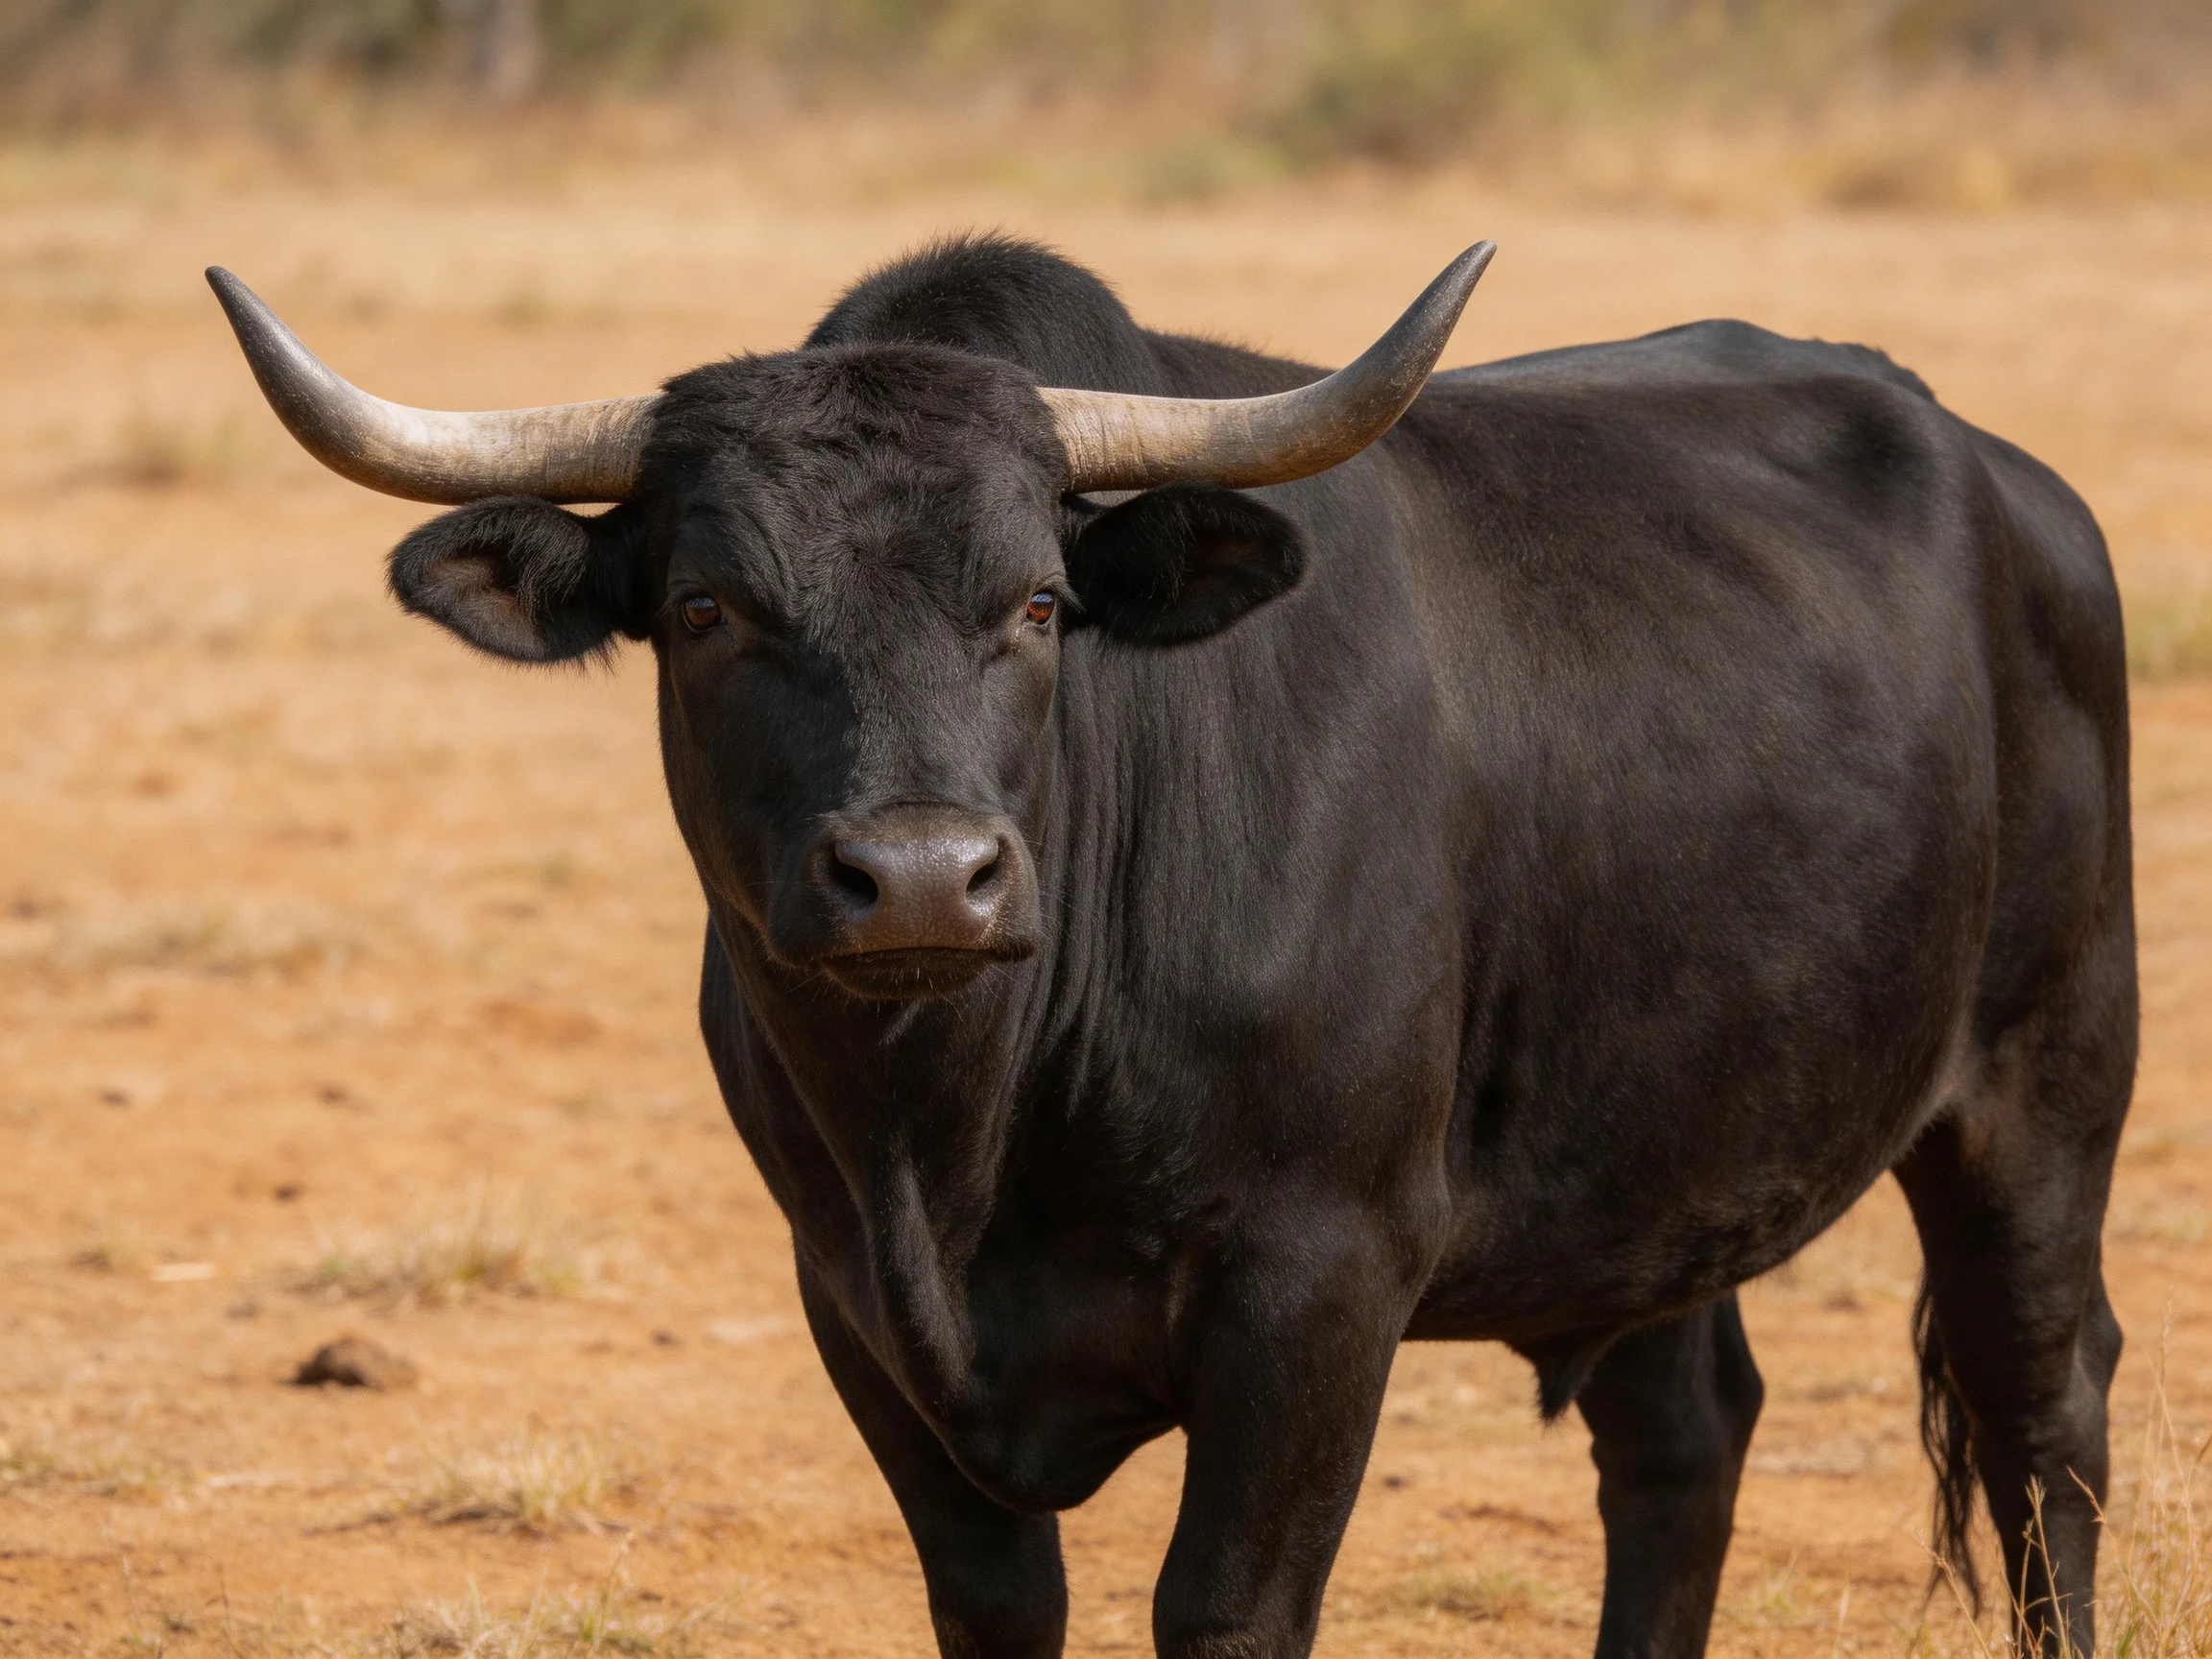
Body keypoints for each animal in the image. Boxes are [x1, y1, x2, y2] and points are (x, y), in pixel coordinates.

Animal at [209, 232, 2134, 1659]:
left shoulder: (1319, 1286)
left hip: (2041, 1083)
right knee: (1680, 1443)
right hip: (1657, 1163)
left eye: (1038, 602)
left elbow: (1223, 1608)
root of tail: (2007, 480)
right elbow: (997, 1604)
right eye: (702, 609)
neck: (961, 1140)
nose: (923, 879)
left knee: (2044, 1409)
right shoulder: (851, 1305)